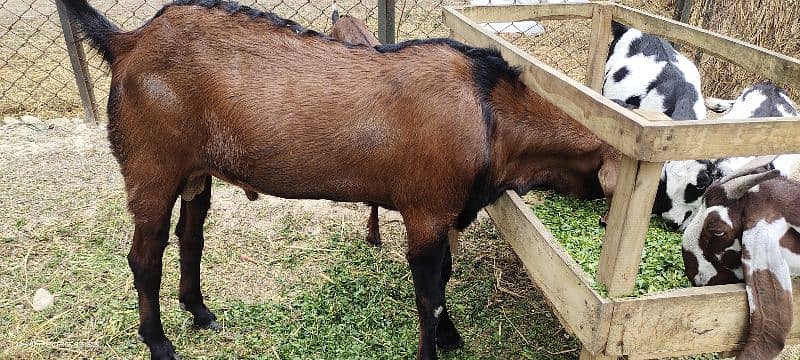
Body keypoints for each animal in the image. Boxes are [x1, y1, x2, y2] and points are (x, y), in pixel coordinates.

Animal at [61, 1, 620, 358]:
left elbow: (444, 278)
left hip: (197, 170)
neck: (490, 114)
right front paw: (434, 345)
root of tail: (129, 42)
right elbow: (429, 293)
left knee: (190, 238)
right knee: (144, 258)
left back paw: (200, 312)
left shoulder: (446, 214)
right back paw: (159, 343)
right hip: (151, 166)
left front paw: (451, 335)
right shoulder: (426, 211)